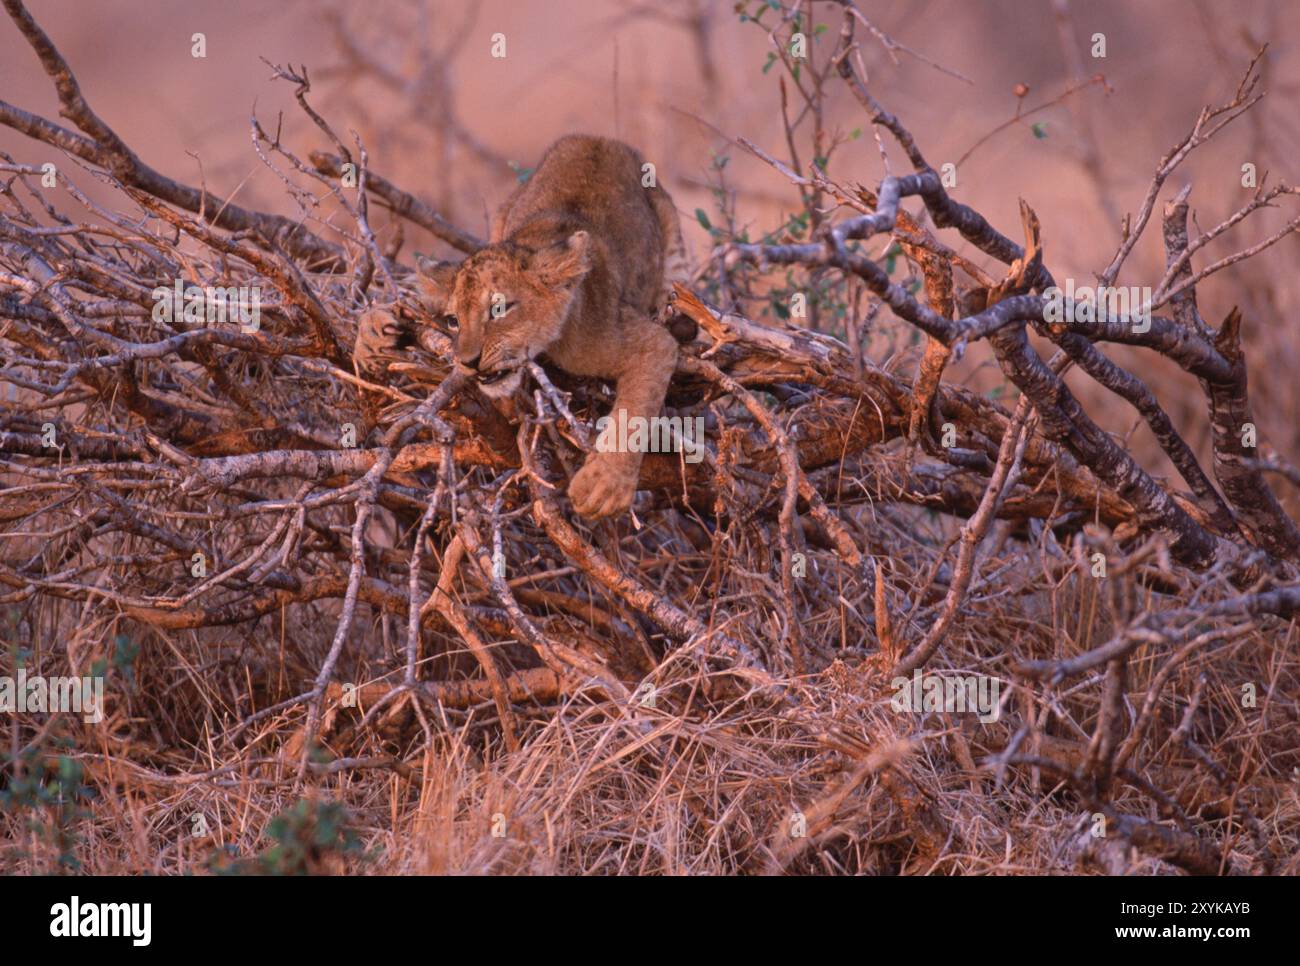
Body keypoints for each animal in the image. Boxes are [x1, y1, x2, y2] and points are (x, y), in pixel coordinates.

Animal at [356, 134, 692, 519]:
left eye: (499, 309)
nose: (468, 362)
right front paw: (373, 330)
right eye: (454, 321)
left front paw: (604, 486)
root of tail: (598, 139)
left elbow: (635, 410)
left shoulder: (636, 340)